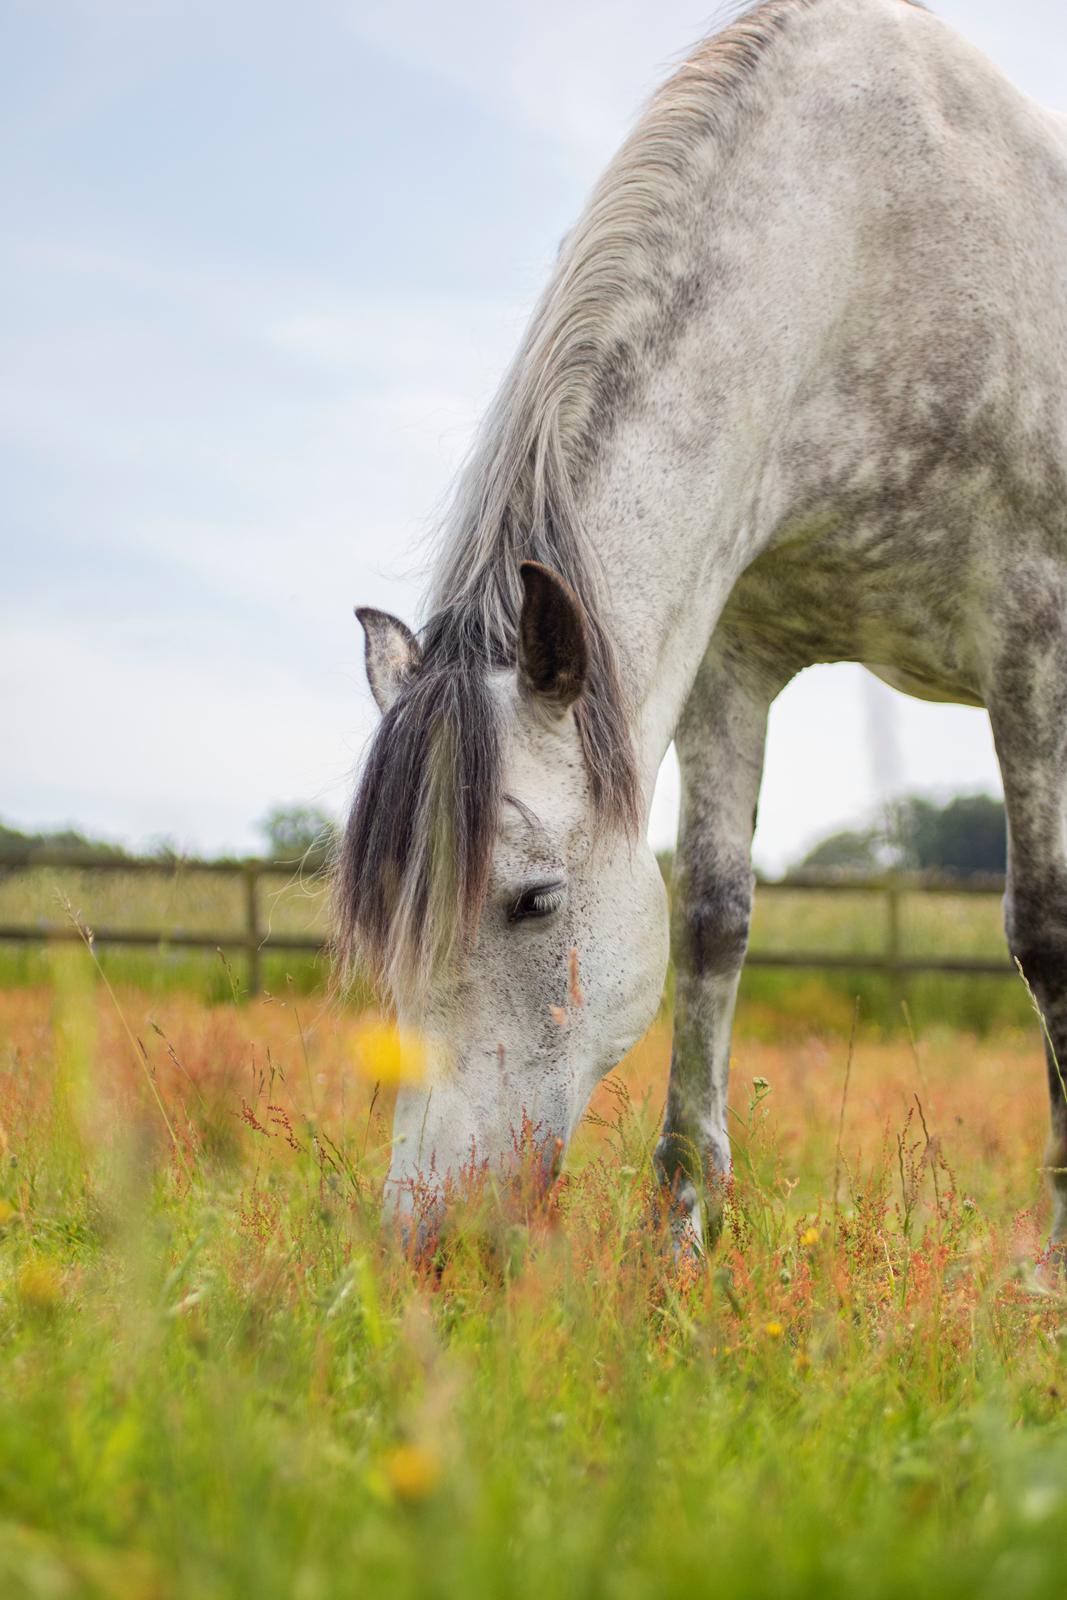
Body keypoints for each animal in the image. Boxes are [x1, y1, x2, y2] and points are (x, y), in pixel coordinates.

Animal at [340, 0, 1067, 1248]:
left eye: (532, 903)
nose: (423, 1239)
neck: (868, 242)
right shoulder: (733, 661)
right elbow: (714, 917)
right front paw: (681, 1223)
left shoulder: (1029, 643)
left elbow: (1043, 936)